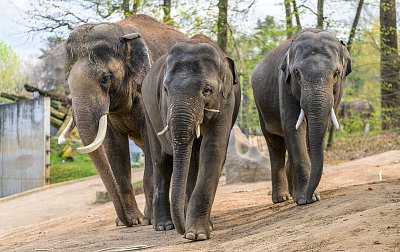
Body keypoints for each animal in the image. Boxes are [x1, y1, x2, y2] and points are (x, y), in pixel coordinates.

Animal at [57, 13, 188, 226]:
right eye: (67, 82)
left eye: (105, 78)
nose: (124, 220)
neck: (121, 31)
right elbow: (113, 146)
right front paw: (132, 221)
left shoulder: (146, 93)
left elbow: (150, 145)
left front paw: (147, 220)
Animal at [141, 34, 241, 240]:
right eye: (165, 90)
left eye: (207, 90)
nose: (181, 231)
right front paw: (193, 233)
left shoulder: (226, 101)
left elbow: (213, 149)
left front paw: (196, 234)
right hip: (148, 114)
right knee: (161, 161)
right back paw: (163, 225)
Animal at [252, 28, 352, 205]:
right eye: (297, 73)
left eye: (336, 73)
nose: (309, 197)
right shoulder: (284, 83)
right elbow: (293, 126)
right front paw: (305, 198)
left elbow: (317, 129)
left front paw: (308, 197)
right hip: (260, 107)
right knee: (275, 144)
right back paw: (282, 198)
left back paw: (291, 194)